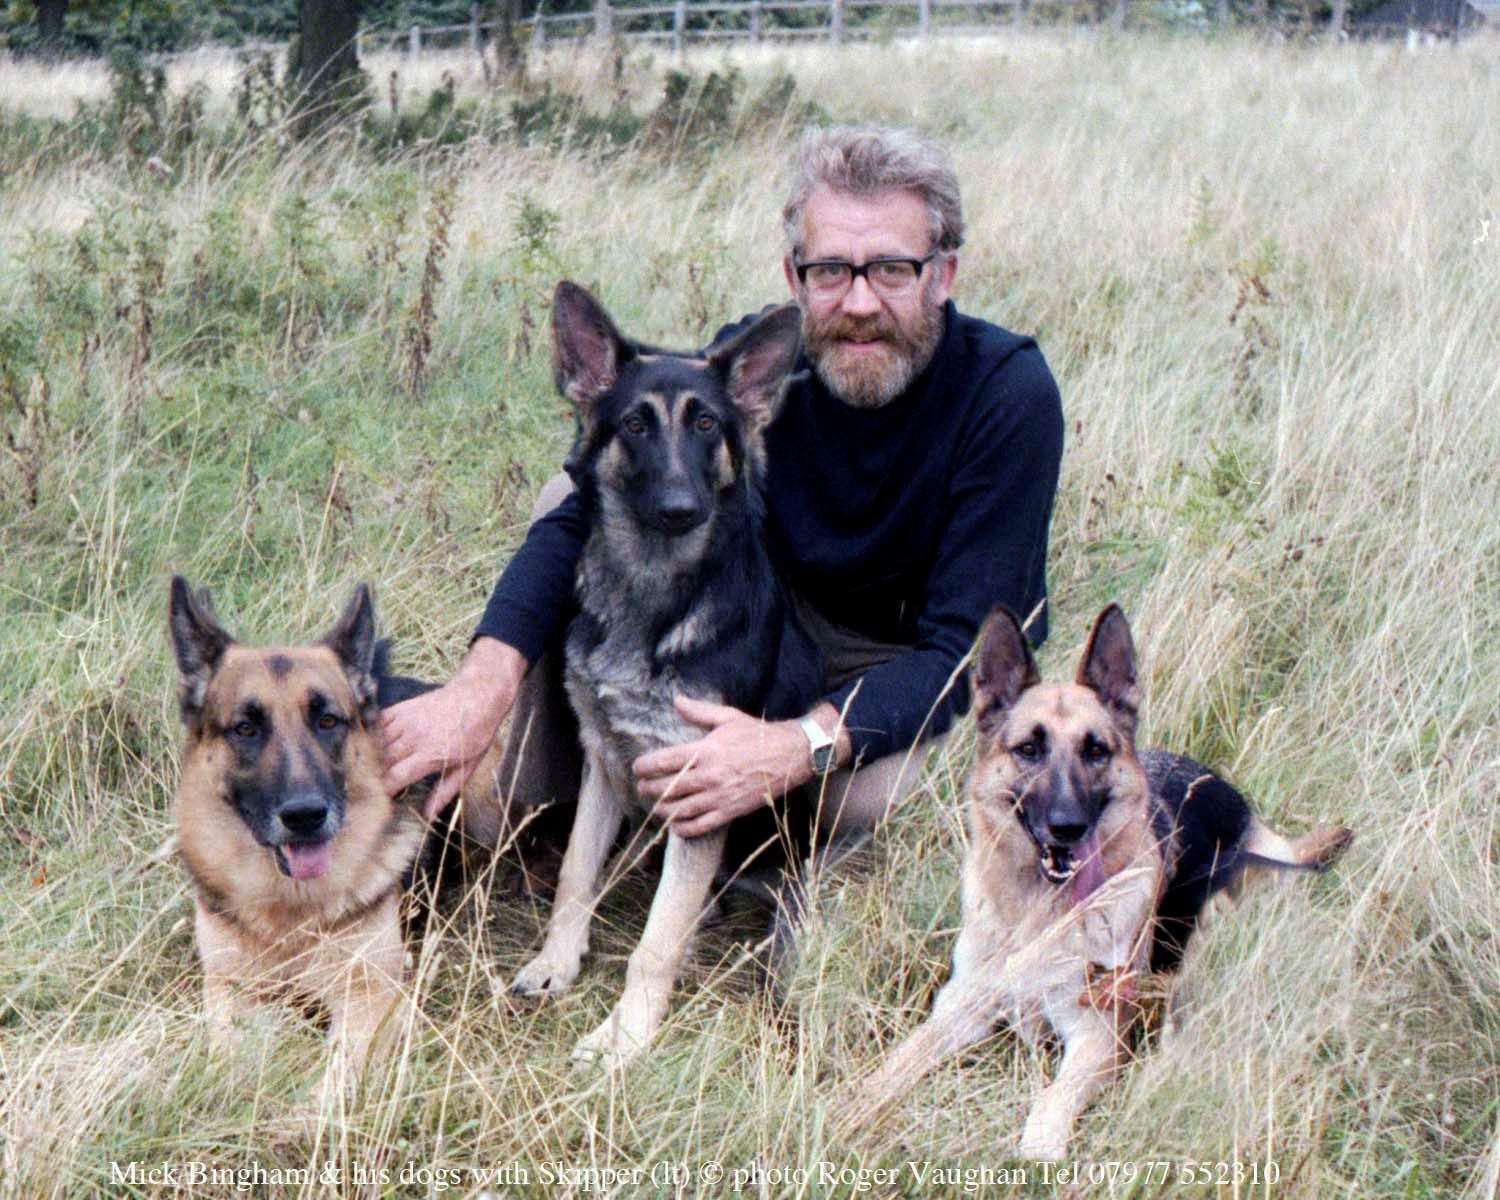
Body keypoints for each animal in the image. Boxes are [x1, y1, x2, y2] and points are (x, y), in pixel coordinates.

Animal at [169, 582, 498, 1098]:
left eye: (328, 721)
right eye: (246, 728)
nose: (305, 816)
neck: (288, 914)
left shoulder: (370, 997)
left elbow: (335, 1080)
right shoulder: (230, 990)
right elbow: (230, 1063)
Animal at [513, 283, 822, 1068]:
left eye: (707, 423)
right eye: (635, 425)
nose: (682, 508)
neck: (650, 599)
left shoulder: (701, 795)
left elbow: (656, 943)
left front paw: (625, 1035)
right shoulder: (603, 760)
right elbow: (575, 874)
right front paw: (556, 963)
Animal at [846, 609, 1350, 1164]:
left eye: (1095, 751)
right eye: (1028, 749)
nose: (1067, 827)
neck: (1038, 916)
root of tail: (1229, 795)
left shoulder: (1097, 1036)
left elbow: (1050, 1100)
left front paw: (1038, 1153)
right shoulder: (960, 1007)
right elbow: (896, 1064)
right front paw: (850, 1110)